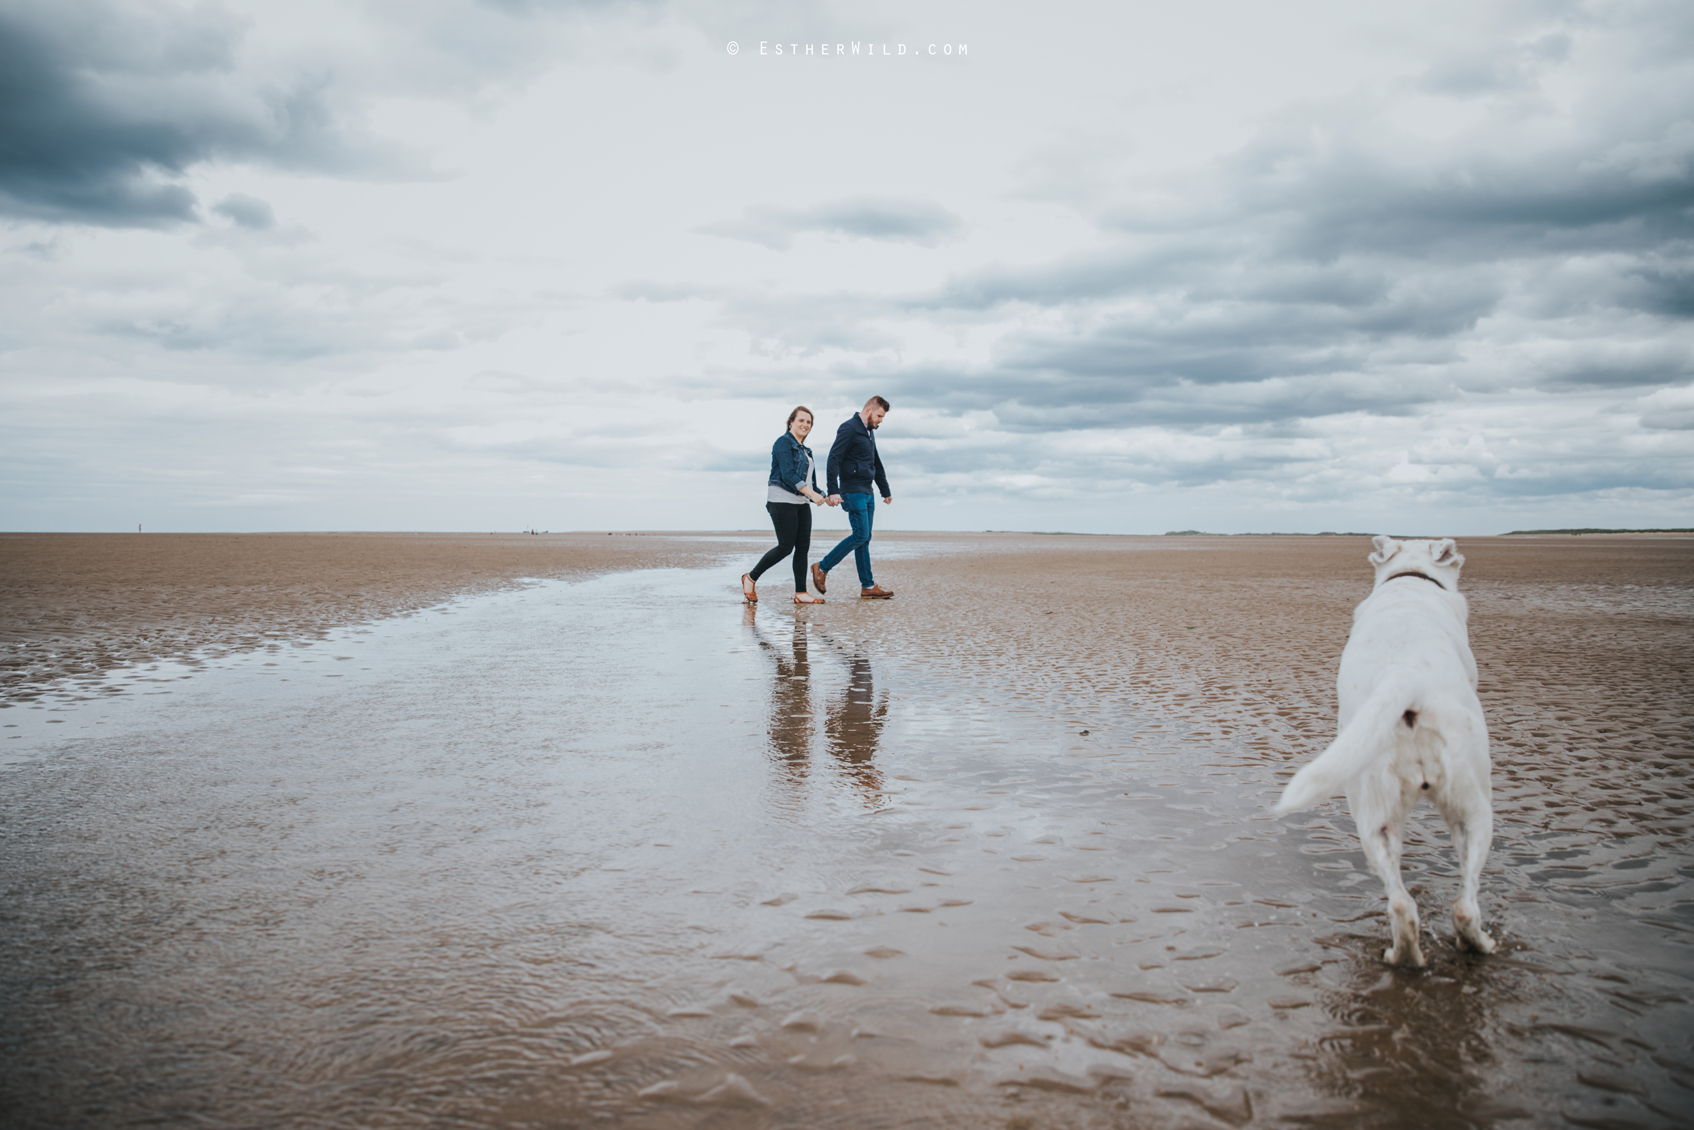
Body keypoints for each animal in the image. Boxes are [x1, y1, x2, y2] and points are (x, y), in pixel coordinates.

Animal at [1273, 535, 1504, 969]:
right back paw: (1480, 945)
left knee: (1402, 905)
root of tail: (1405, 675)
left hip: (1372, 815)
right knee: (1465, 906)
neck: (1410, 580)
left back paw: (1403, 956)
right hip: (1475, 809)